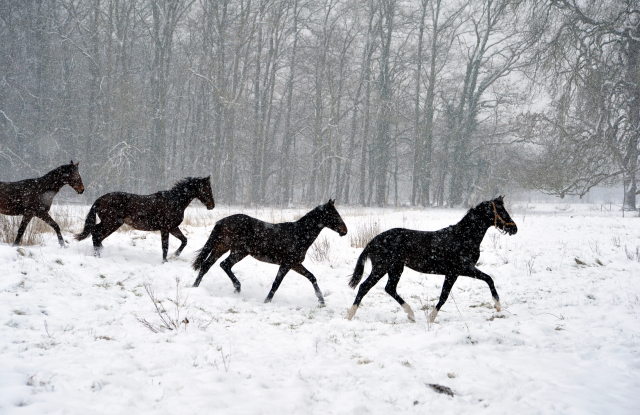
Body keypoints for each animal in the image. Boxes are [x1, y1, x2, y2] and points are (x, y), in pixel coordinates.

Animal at [75, 176, 215, 262]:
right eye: (207, 188)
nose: (212, 205)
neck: (174, 201)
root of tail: (100, 199)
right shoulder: (165, 228)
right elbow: (165, 246)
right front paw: (166, 260)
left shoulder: (173, 227)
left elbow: (184, 241)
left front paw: (174, 256)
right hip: (112, 223)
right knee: (97, 235)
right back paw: (98, 255)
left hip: (109, 223)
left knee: (95, 233)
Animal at [191, 200, 348, 308]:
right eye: (334, 214)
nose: (344, 231)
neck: (298, 234)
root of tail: (222, 221)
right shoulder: (286, 264)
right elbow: (276, 284)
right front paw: (267, 301)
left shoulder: (295, 264)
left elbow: (312, 277)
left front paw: (321, 301)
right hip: (238, 251)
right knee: (223, 265)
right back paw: (237, 287)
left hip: (222, 247)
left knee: (207, 265)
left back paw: (195, 287)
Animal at [348, 197, 516, 324]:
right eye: (501, 211)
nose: (514, 228)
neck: (463, 237)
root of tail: (373, 241)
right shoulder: (462, 269)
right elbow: (487, 279)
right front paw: (498, 306)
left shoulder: (455, 273)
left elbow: (445, 294)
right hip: (382, 268)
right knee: (365, 287)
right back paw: (350, 315)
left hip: (395, 268)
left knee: (389, 288)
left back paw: (410, 315)